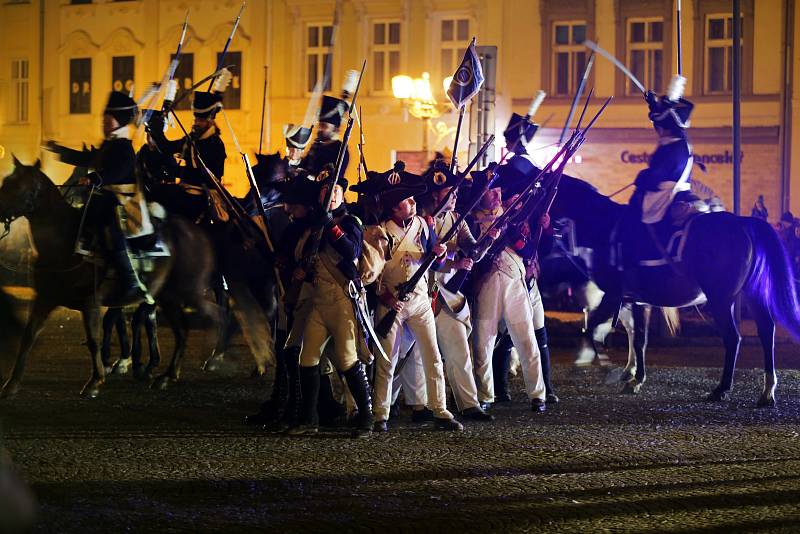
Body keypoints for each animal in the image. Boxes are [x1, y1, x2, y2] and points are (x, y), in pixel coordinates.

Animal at [0, 158, 217, 398]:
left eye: (21, 188)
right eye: (6, 182)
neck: (64, 242)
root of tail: (198, 232)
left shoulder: (91, 303)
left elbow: (94, 340)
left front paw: (95, 381)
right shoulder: (44, 300)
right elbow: (28, 337)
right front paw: (11, 384)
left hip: (188, 292)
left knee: (215, 315)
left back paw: (214, 358)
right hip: (168, 298)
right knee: (181, 331)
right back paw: (167, 376)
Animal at [548, 176, 800, 406]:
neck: (603, 227)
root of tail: (743, 223)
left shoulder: (613, 295)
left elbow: (591, 328)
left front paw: (594, 361)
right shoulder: (638, 301)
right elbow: (638, 338)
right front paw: (635, 378)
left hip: (720, 300)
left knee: (733, 338)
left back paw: (721, 389)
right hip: (751, 295)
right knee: (766, 331)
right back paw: (767, 392)